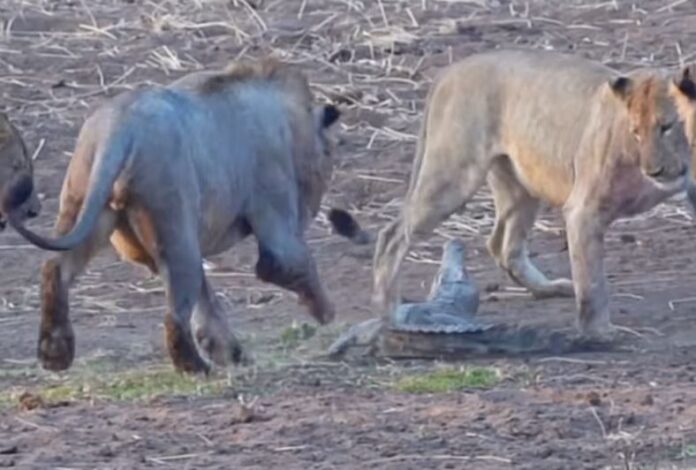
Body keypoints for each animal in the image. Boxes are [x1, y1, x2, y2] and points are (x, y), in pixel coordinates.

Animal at [2, 58, 343, 374]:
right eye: (328, 153)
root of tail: (119, 129)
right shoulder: (275, 212)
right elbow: (290, 263)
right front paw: (327, 314)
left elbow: (207, 301)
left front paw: (230, 352)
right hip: (174, 224)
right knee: (175, 313)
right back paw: (195, 367)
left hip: (88, 209)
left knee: (55, 269)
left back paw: (54, 354)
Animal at [372, 49, 696, 340]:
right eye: (635, 132)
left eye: (666, 126)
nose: (653, 171)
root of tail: (449, 72)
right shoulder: (583, 210)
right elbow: (592, 282)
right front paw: (598, 332)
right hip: (452, 176)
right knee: (392, 235)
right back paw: (390, 313)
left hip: (521, 187)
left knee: (502, 244)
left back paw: (551, 288)